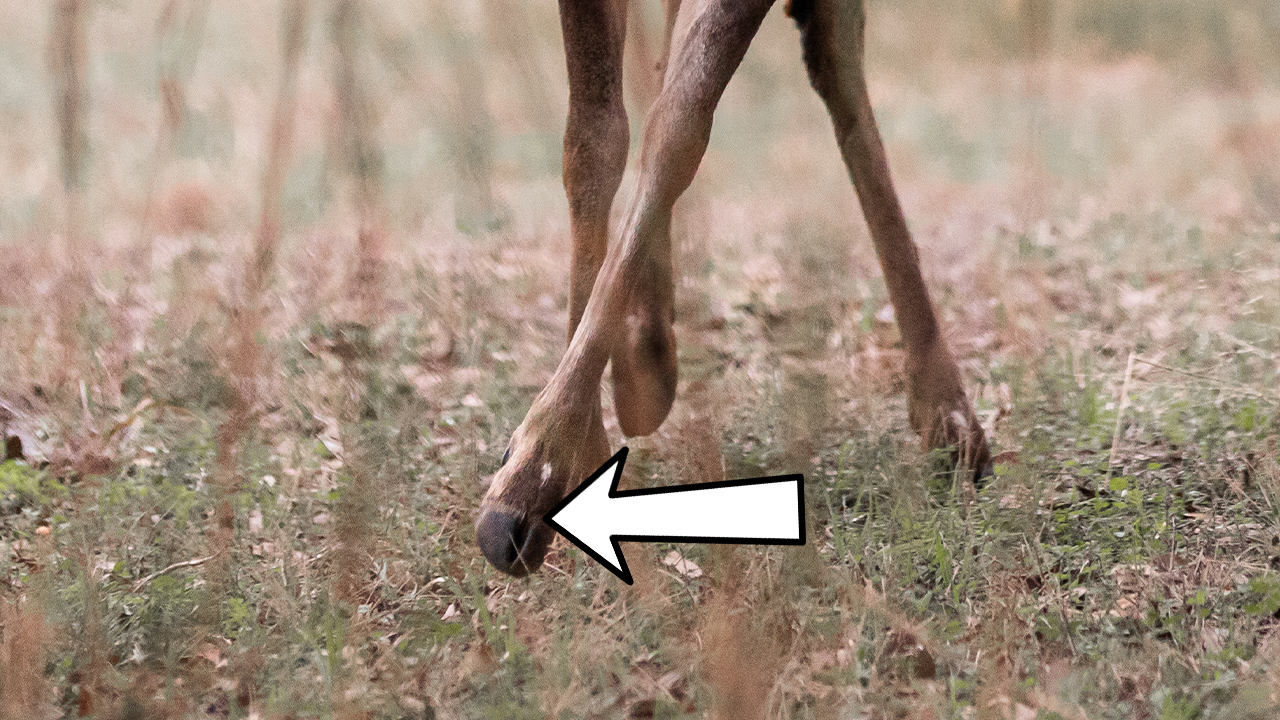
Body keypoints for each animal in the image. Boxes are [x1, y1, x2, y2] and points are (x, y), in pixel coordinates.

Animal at [476, 0, 991, 577]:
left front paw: (535, 477)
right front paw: (561, 460)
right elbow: (593, 138)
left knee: (829, 52)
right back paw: (646, 353)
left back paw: (950, 417)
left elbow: (677, 129)